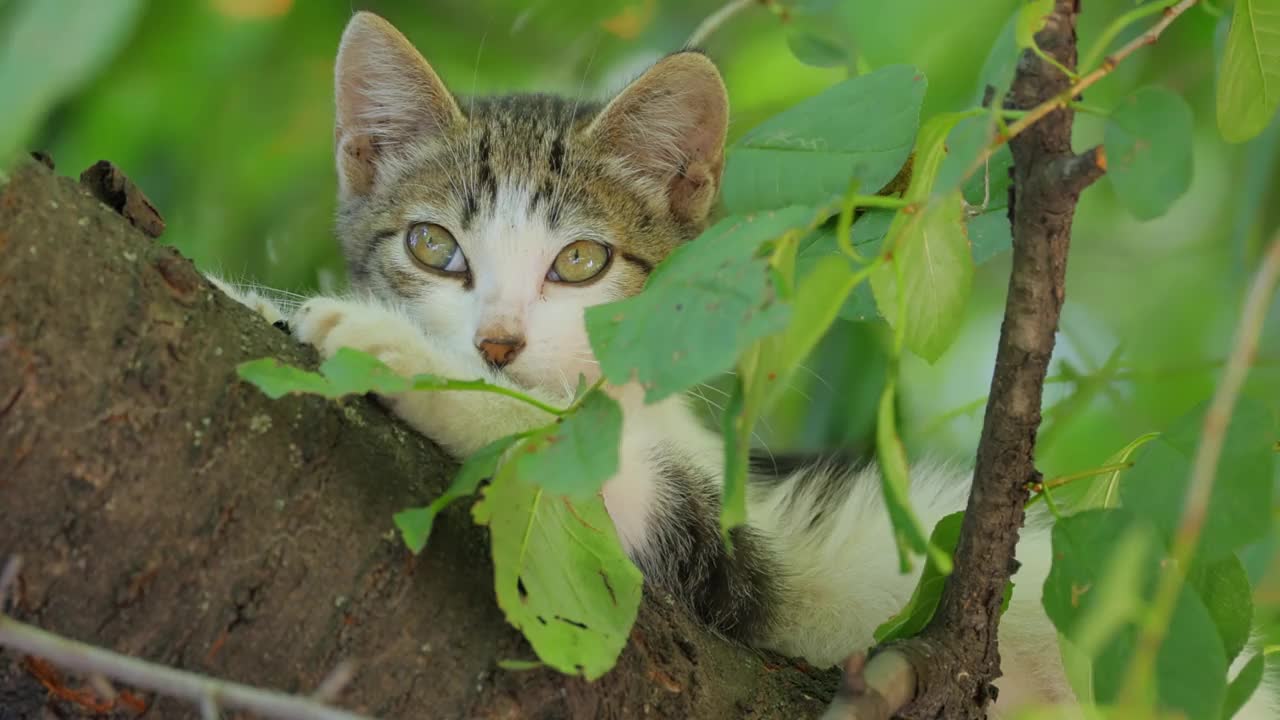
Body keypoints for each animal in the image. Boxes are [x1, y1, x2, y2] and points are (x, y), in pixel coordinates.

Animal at [215, 12, 1274, 717]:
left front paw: (391, 351)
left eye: (582, 262)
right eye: (435, 248)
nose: (497, 344)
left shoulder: (721, 564)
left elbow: (598, 477)